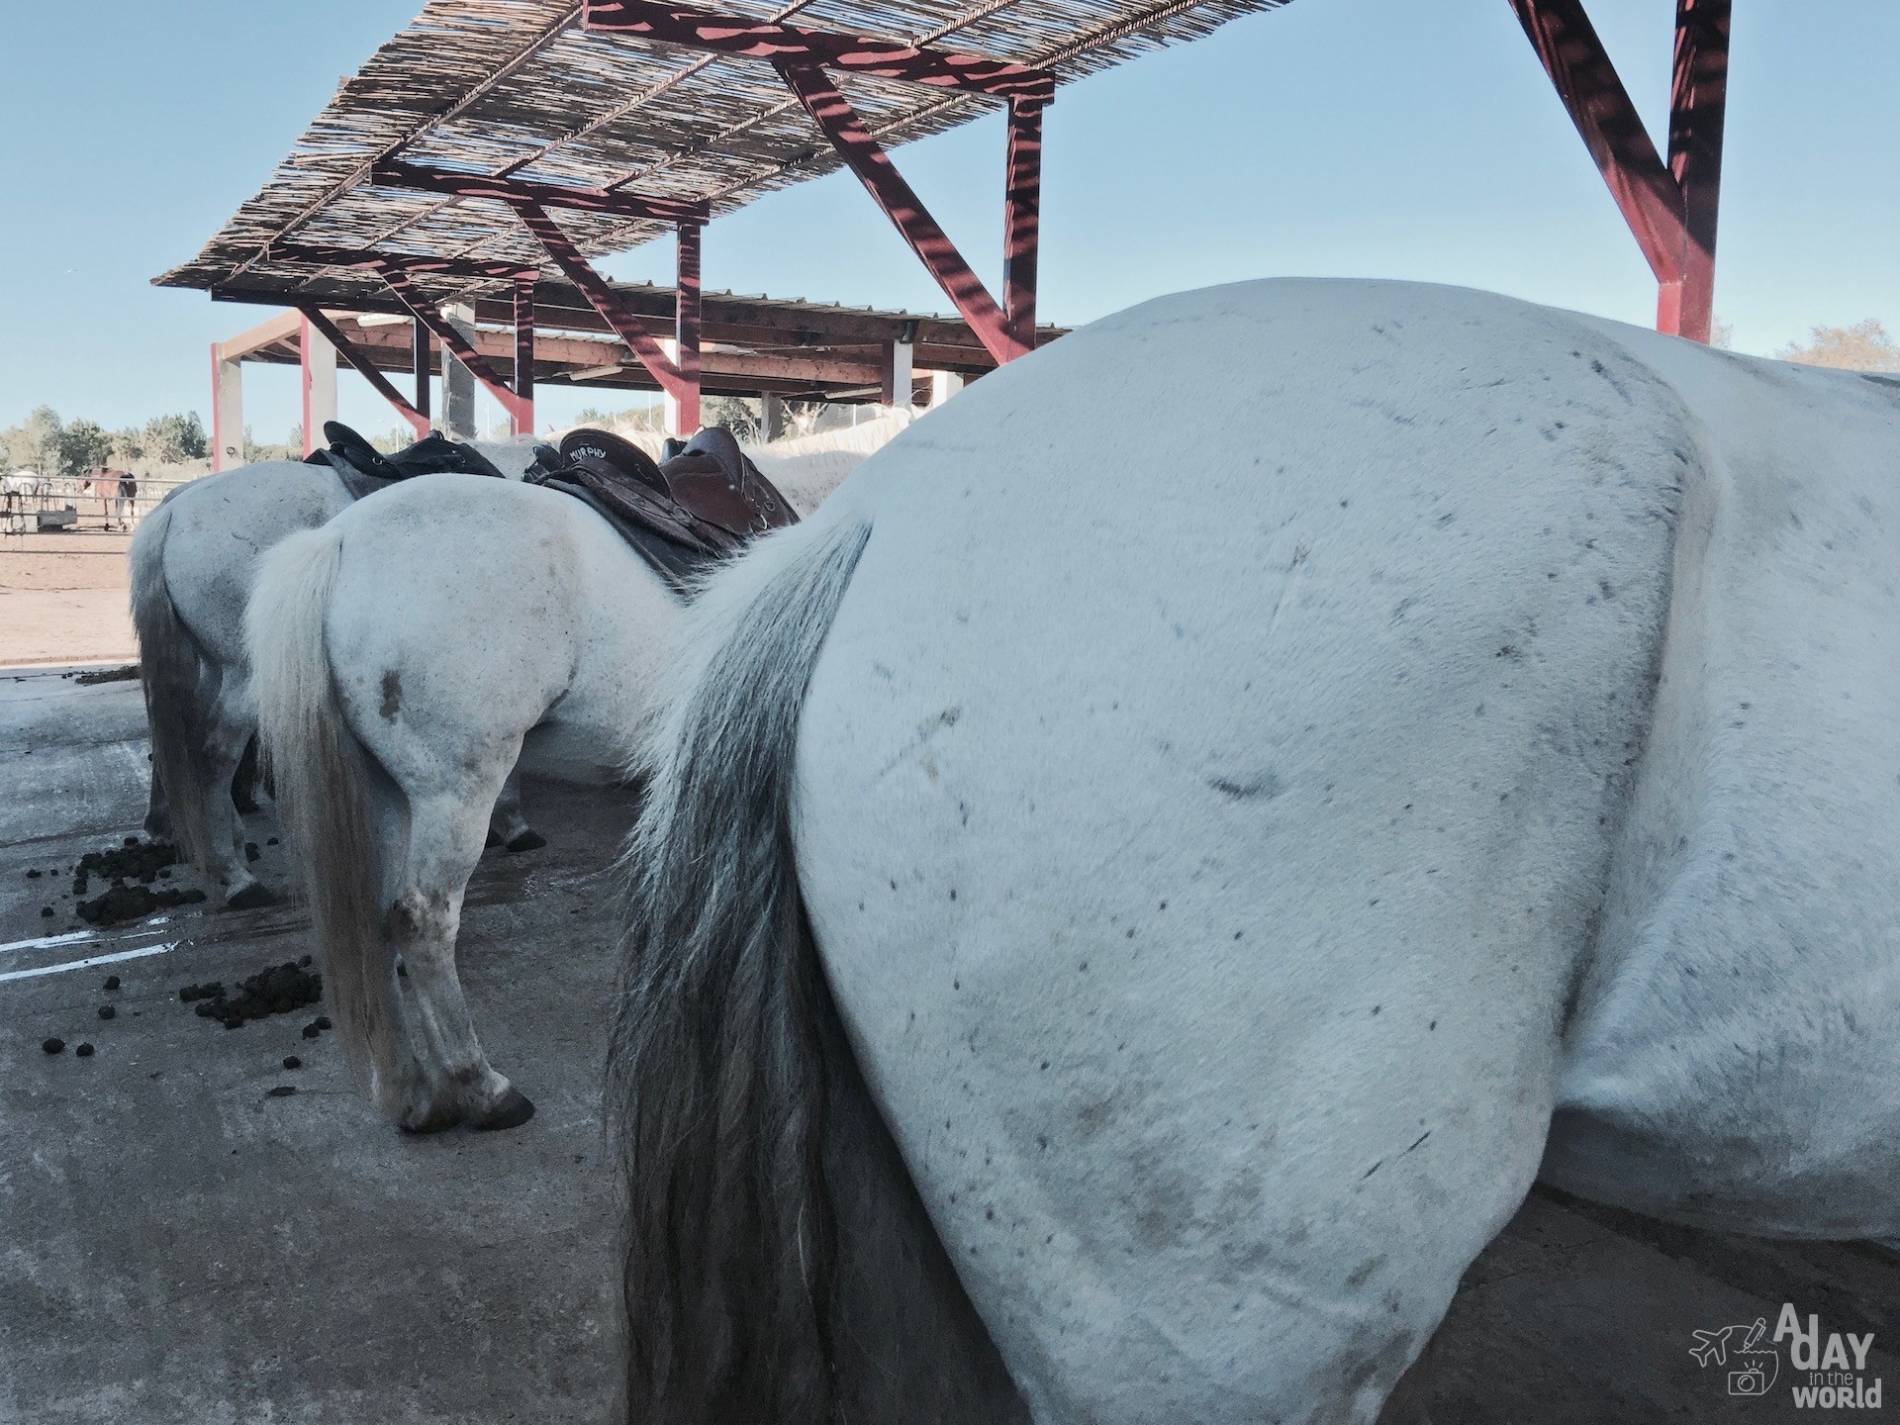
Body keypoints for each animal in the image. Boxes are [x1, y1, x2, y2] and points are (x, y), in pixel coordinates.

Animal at [128, 435, 543, 908]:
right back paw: (235, 878)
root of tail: (174, 511)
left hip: (216, 666)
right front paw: (513, 823)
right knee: (213, 756)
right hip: (243, 674)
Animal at [245, 452, 855, 1132]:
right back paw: (482, 1087)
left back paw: (413, 1094)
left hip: (390, 800)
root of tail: (337, 541)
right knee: (422, 922)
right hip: (455, 794)